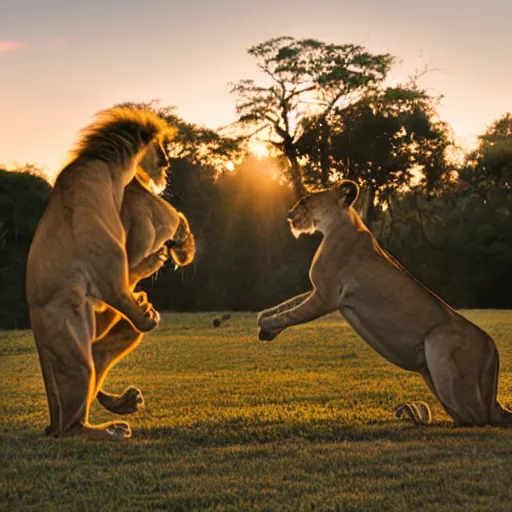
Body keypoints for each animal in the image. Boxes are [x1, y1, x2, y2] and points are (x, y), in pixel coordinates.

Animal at [26, 108, 177, 440]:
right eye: (159, 147)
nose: (167, 162)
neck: (113, 167)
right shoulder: (102, 245)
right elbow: (117, 274)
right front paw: (155, 265)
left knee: (105, 349)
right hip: (69, 342)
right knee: (72, 419)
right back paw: (107, 430)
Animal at [258, 180, 512, 428]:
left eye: (305, 200)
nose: (288, 214)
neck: (337, 225)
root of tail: (492, 350)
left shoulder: (326, 296)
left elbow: (291, 313)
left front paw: (265, 324)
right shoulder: (319, 291)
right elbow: (287, 303)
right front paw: (264, 320)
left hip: (440, 344)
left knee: (480, 419)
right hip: (430, 374)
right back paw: (415, 414)